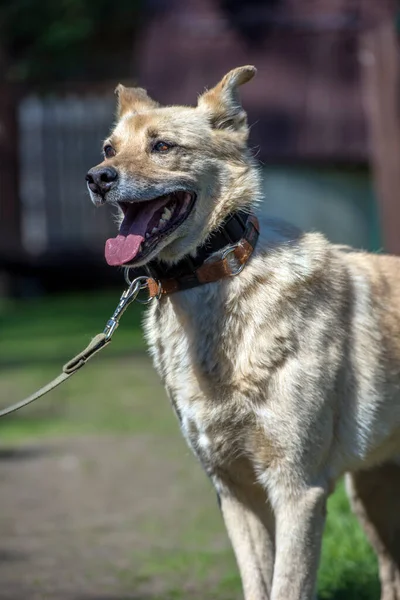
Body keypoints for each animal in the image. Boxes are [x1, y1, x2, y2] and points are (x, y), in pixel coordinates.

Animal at [86, 67, 400, 600]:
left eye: (163, 146)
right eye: (109, 148)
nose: (97, 177)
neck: (212, 275)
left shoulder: (298, 490)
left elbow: (286, 586)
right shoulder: (234, 491)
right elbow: (258, 583)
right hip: (373, 491)